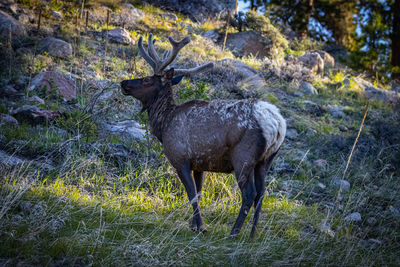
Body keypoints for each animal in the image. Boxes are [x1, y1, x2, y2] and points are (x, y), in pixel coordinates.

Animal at [120, 33, 286, 239]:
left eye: (147, 80)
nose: (123, 83)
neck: (164, 124)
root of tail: (277, 124)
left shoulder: (180, 158)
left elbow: (191, 194)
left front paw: (201, 226)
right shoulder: (200, 164)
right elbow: (199, 193)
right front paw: (194, 225)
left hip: (243, 158)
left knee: (249, 194)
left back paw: (233, 233)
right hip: (266, 161)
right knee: (262, 194)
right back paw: (252, 234)